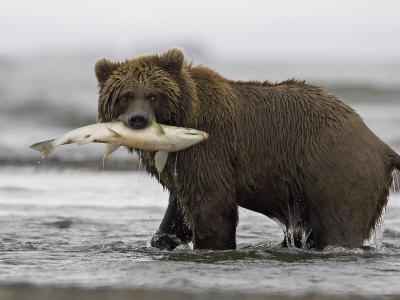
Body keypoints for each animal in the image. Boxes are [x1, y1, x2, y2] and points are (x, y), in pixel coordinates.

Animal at [94, 48, 400, 251]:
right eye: (125, 95)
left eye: (153, 94)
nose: (138, 119)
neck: (183, 116)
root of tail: (380, 144)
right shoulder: (178, 165)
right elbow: (179, 205)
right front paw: (163, 239)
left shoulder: (209, 150)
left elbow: (211, 203)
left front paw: (210, 244)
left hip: (333, 168)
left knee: (340, 224)